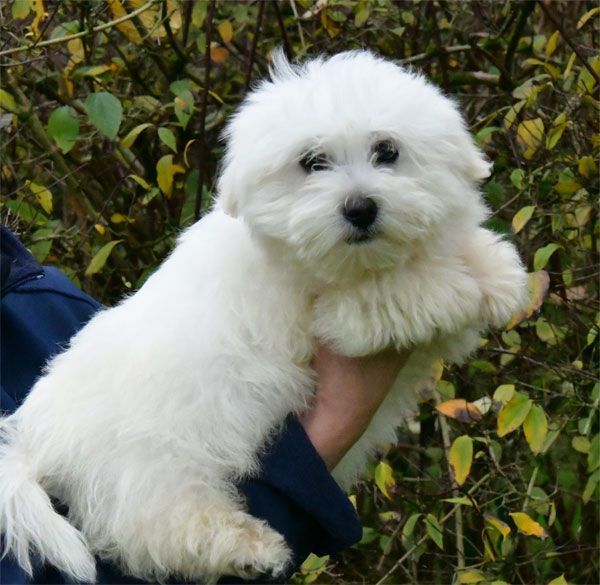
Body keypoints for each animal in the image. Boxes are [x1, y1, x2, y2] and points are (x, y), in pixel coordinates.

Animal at [0, 50, 524, 580]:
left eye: (387, 150)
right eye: (312, 162)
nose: (360, 208)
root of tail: (34, 443)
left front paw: (495, 270)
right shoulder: (345, 315)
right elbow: (405, 292)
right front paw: (462, 285)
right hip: (152, 468)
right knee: (154, 528)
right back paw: (247, 545)